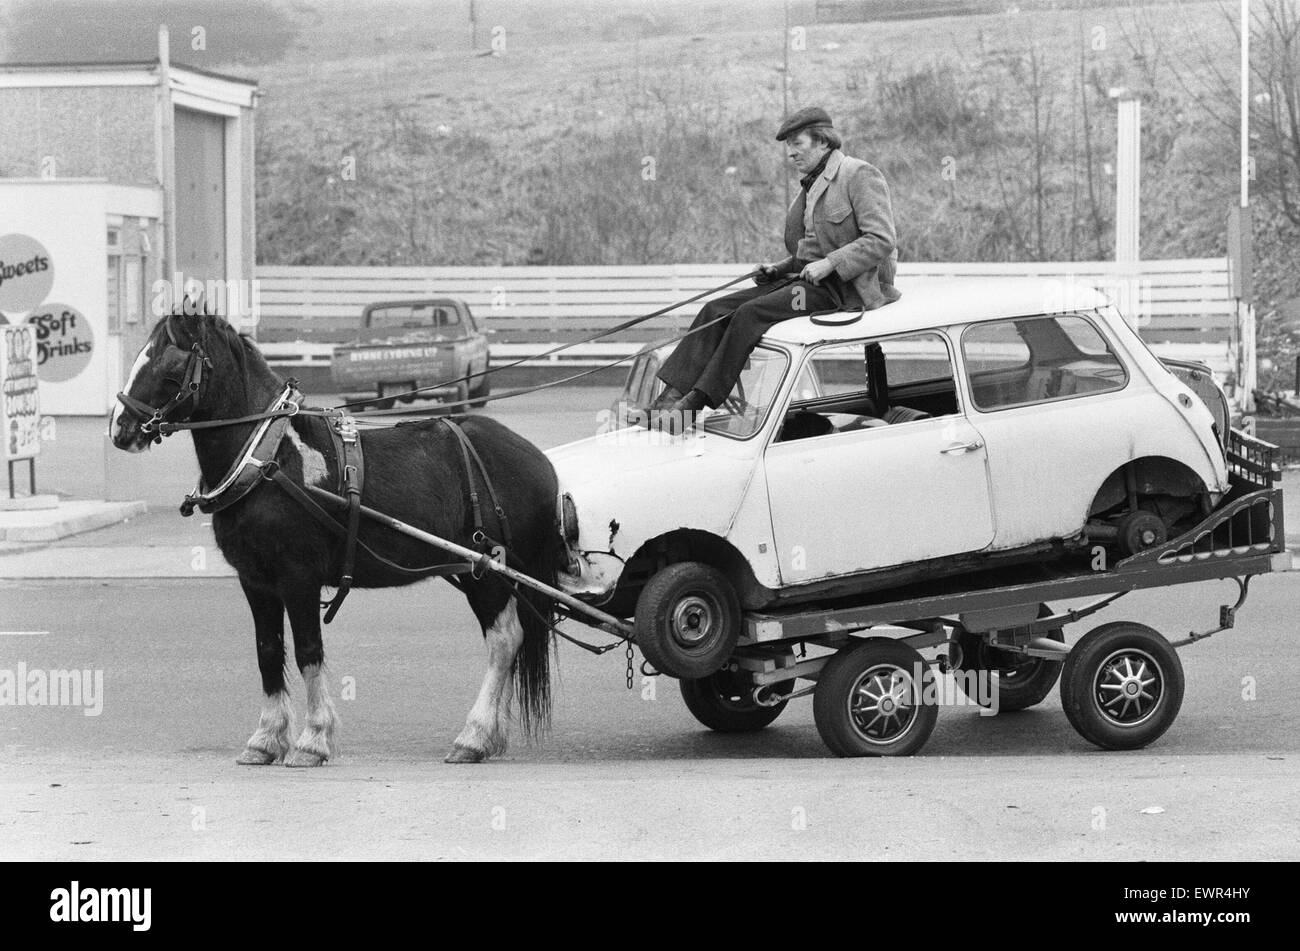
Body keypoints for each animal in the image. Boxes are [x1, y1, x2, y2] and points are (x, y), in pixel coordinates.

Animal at [109, 310, 566, 766]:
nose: (120, 428)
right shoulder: (255, 581)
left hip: (486, 573)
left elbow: (308, 652)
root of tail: (538, 459)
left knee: (503, 641)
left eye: (169, 366)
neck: (269, 458)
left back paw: (474, 735)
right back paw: (490, 736)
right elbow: (268, 652)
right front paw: (265, 738)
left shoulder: (299, 578)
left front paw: (312, 739)